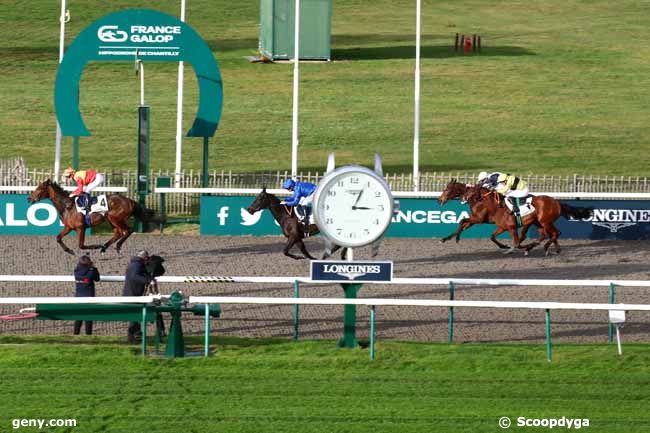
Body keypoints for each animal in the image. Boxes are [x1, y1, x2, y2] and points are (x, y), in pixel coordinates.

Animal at [26, 178, 161, 253]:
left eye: (39, 188)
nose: (29, 198)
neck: (67, 205)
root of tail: (130, 201)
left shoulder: (80, 228)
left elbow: (81, 245)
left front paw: (95, 246)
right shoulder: (69, 227)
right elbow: (58, 238)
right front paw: (69, 251)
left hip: (115, 218)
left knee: (128, 230)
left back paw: (116, 246)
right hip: (111, 219)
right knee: (118, 233)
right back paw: (104, 247)